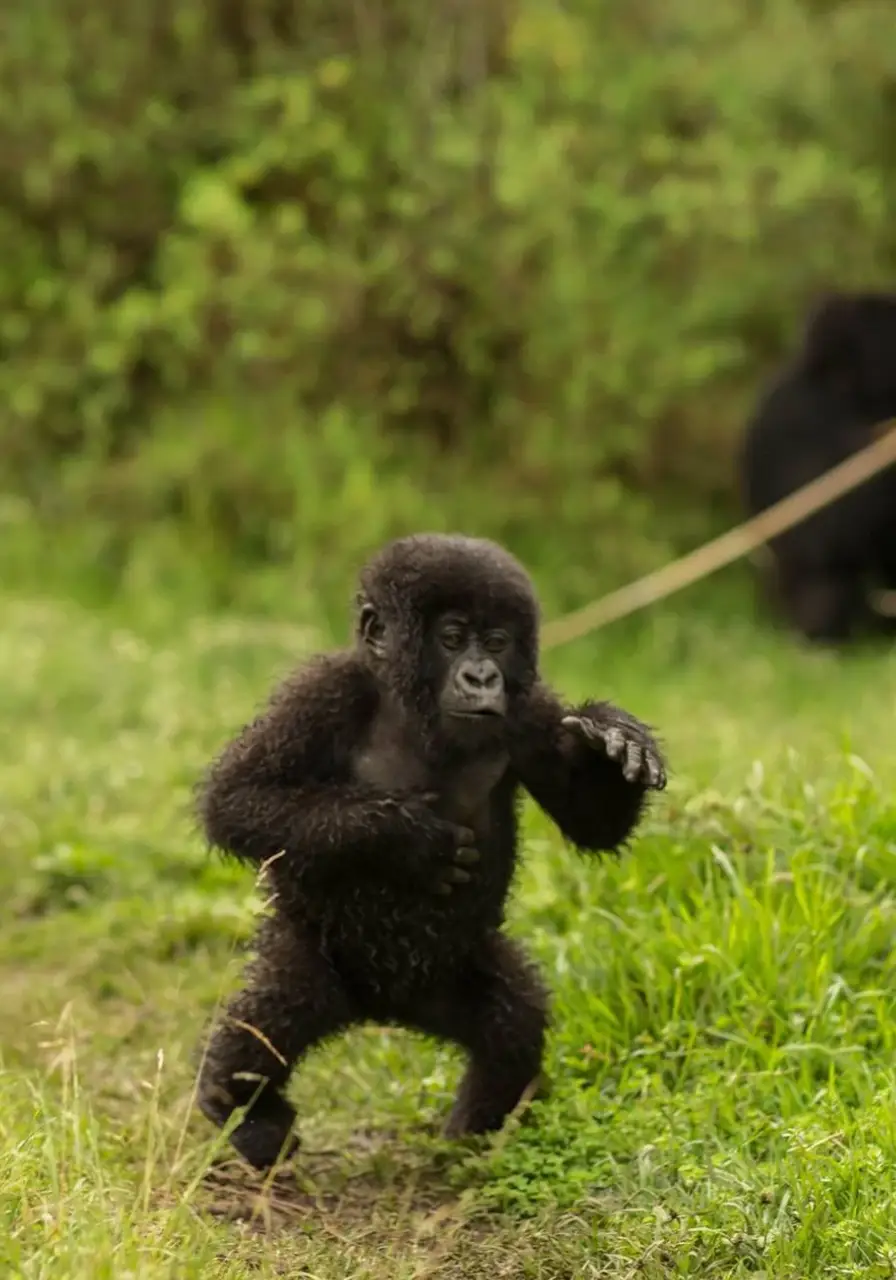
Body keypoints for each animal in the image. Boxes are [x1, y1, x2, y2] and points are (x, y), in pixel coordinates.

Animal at [194, 533, 667, 1170]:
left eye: (497, 642)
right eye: (452, 637)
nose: (482, 676)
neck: (407, 708)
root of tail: (382, 1010)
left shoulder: (533, 713)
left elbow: (591, 823)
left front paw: (619, 743)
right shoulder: (319, 692)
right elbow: (236, 800)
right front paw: (405, 839)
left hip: (452, 973)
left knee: (513, 1020)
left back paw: (478, 1128)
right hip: (310, 949)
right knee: (273, 1013)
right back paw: (246, 1113)